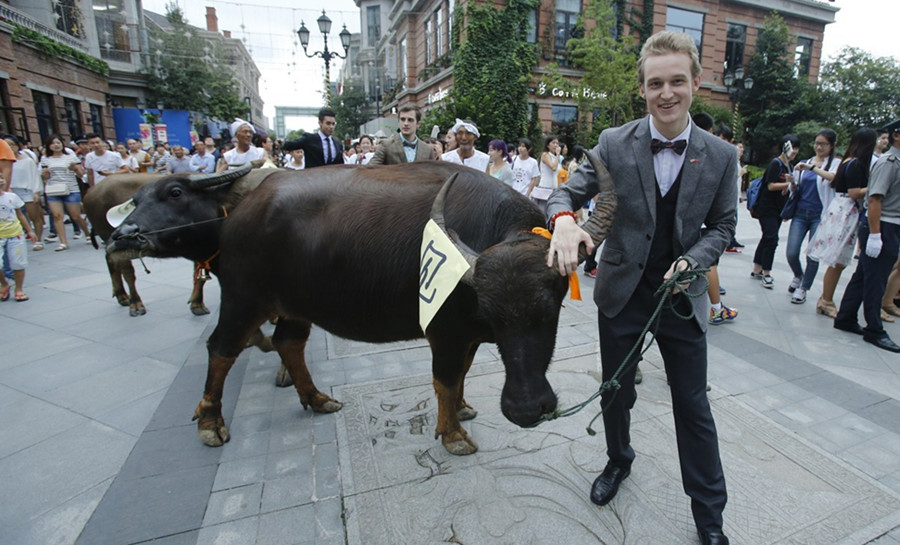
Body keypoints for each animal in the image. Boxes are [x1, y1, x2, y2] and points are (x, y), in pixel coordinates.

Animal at [103, 155, 612, 452]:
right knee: (222, 348)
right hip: (244, 299)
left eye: (550, 311)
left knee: (288, 343)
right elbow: (445, 378)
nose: (525, 410)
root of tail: (240, 216)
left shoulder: (466, 334)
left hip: (294, 305)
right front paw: (452, 434)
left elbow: (463, 374)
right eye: (494, 315)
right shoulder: (445, 331)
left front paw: (464, 408)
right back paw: (210, 422)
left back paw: (316, 398)